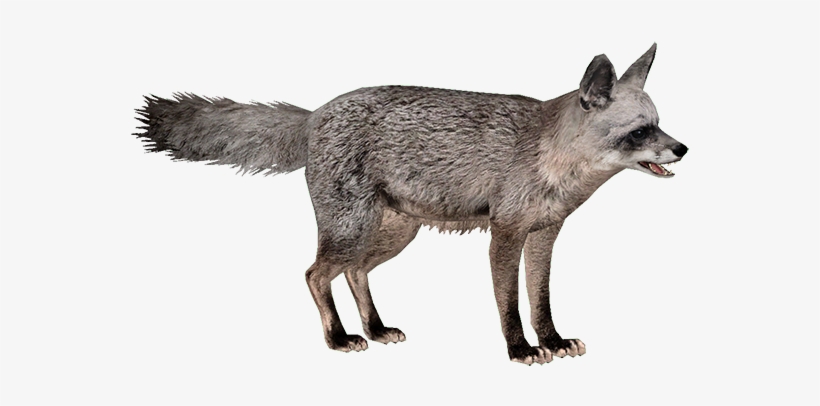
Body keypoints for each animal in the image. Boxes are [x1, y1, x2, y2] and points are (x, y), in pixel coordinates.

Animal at [134, 44, 687, 365]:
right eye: (641, 132)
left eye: (660, 124)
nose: (683, 149)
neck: (554, 159)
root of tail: (316, 113)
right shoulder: (506, 234)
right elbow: (509, 304)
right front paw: (519, 350)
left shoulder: (545, 234)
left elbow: (541, 298)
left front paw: (551, 341)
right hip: (350, 229)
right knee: (315, 274)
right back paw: (339, 339)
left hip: (394, 234)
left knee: (354, 272)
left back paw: (376, 329)